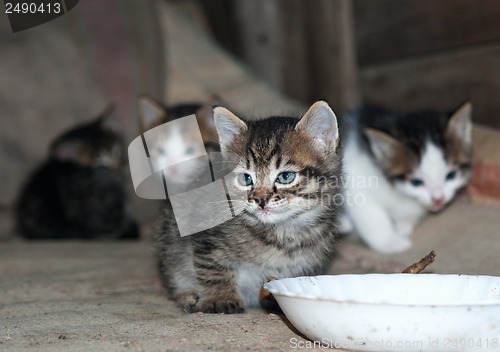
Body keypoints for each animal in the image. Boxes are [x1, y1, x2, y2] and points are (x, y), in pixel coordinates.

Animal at [156, 99, 342, 314]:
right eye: (246, 179)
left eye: (286, 177)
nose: (260, 199)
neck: (283, 232)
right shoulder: (206, 237)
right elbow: (213, 269)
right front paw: (220, 297)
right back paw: (187, 295)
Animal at [340, 102, 472, 253]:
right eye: (416, 182)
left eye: (451, 175)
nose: (438, 199)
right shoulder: (356, 184)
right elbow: (372, 219)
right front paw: (391, 242)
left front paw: (403, 227)